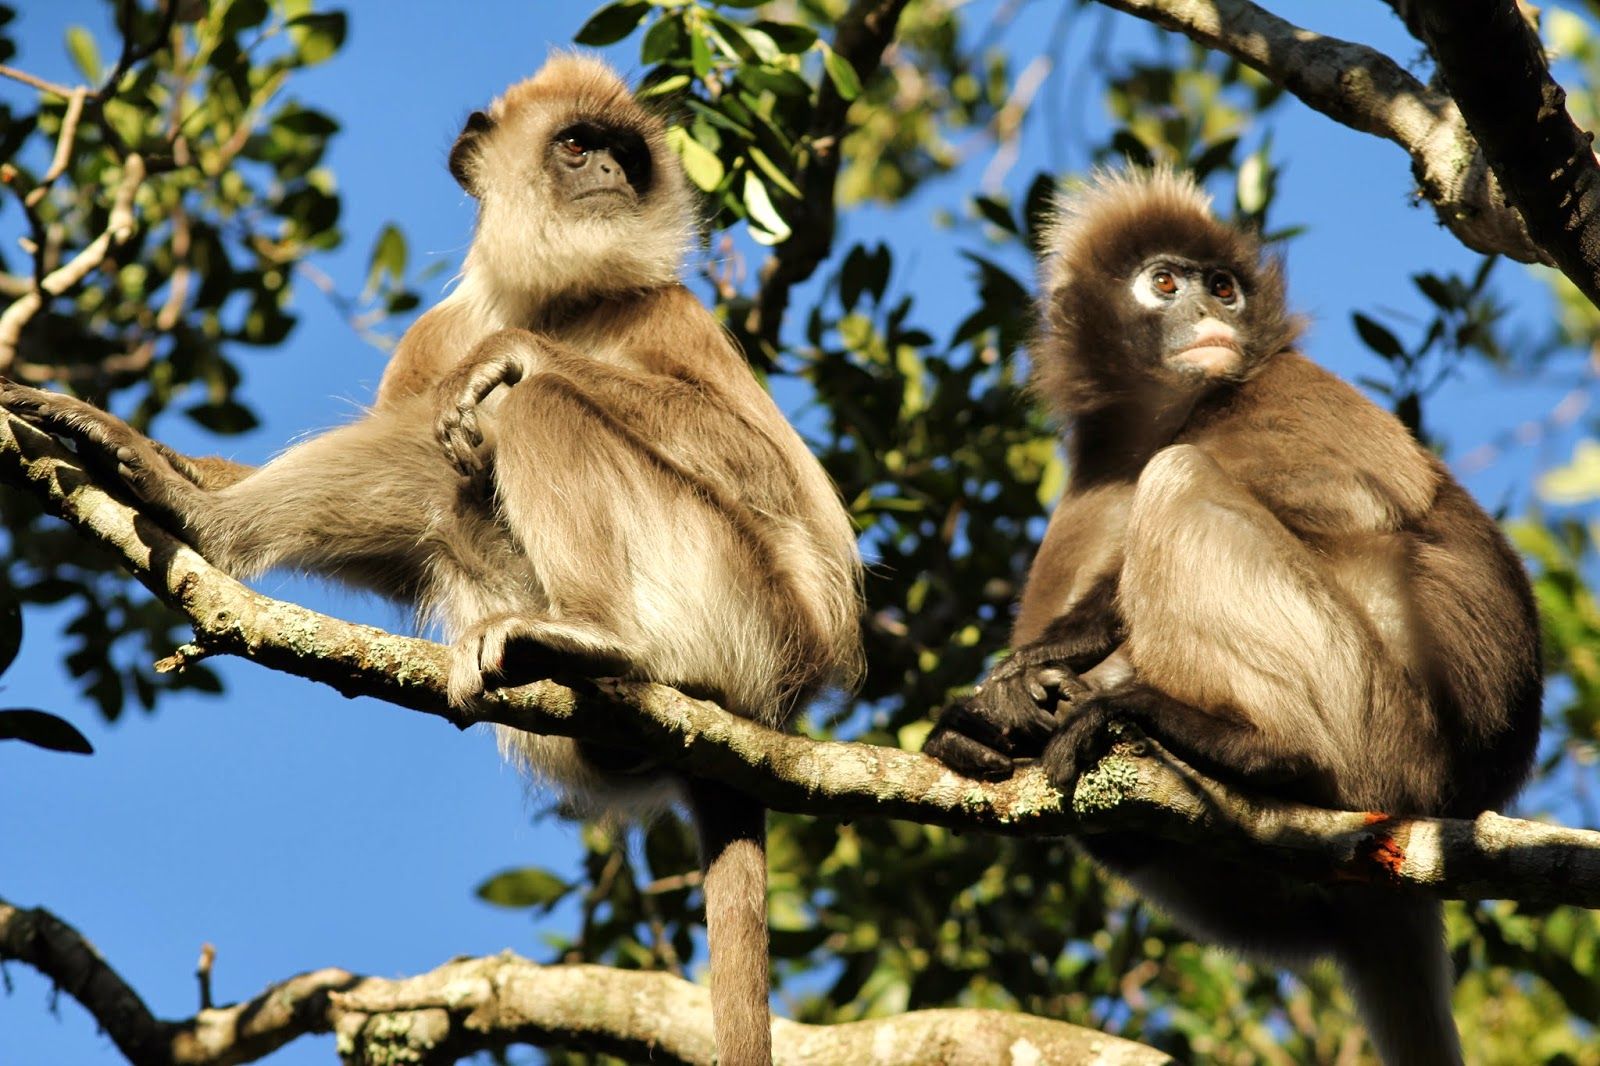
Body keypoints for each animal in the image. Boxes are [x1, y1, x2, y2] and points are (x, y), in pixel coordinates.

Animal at [2, 54, 863, 1066]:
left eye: (625, 152)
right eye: (578, 145)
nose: (612, 175)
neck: (549, 298)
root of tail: (779, 698)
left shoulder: (666, 312)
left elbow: (782, 491)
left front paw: (514, 351)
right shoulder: (435, 332)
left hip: (738, 605)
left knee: (535, 406)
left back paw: (592, 629)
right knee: (443, 479)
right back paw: (201, 513)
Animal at [923, 168, 1541, 1066]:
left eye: (1223, 288)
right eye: (1165, 284)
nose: (1212, 316)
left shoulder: (1284, 386)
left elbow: (1345, 504)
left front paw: (1052, 661)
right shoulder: (1096, 465)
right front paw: (986, 721)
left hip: (1381, 728)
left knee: (1181, 477)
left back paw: (1246, 745)